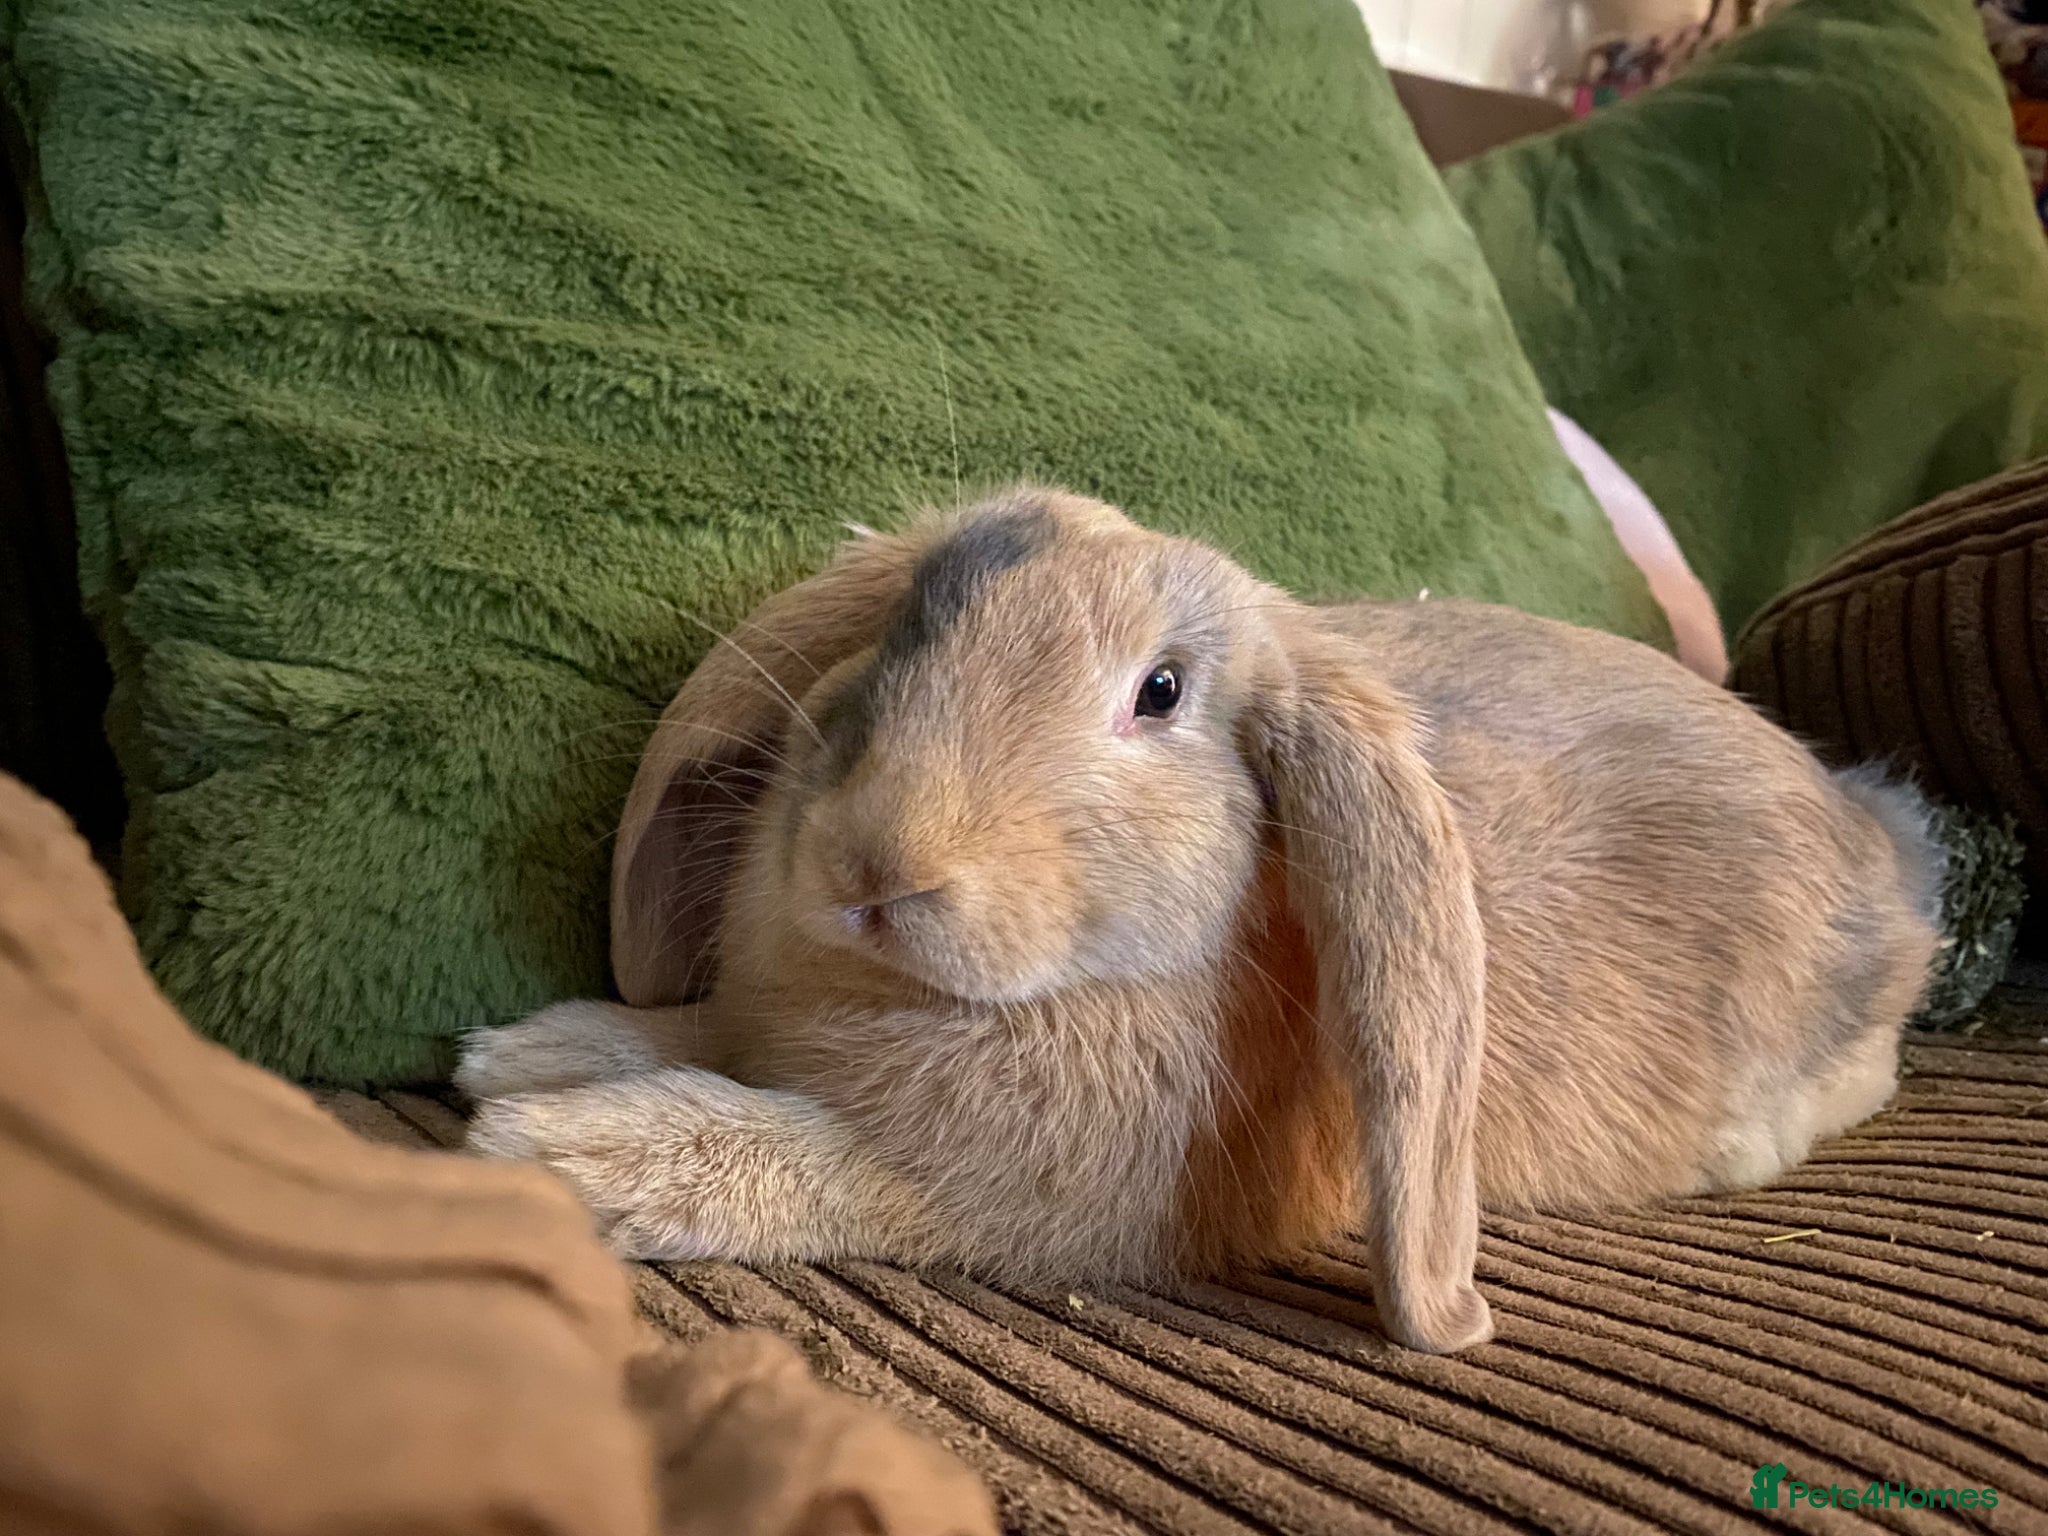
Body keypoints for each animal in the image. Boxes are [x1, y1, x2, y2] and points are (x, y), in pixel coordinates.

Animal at [460, 486, 1943, 1354]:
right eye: (910, 627)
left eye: (1160, 693)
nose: (876, 862)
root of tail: (1888, 855)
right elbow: (705, 1034)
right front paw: (527, 1051)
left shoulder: (994, 1192)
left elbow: (777, 1148)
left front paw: (551, 1152)